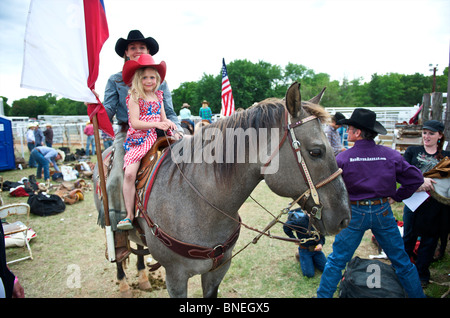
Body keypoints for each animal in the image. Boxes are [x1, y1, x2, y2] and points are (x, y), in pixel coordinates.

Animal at [93, 83, 350, 296]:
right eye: (316, 151)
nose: (344, 219)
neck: (200, 202)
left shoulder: (217, 271)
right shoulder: (176, 277)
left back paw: (143, 277)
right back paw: (124, 283)